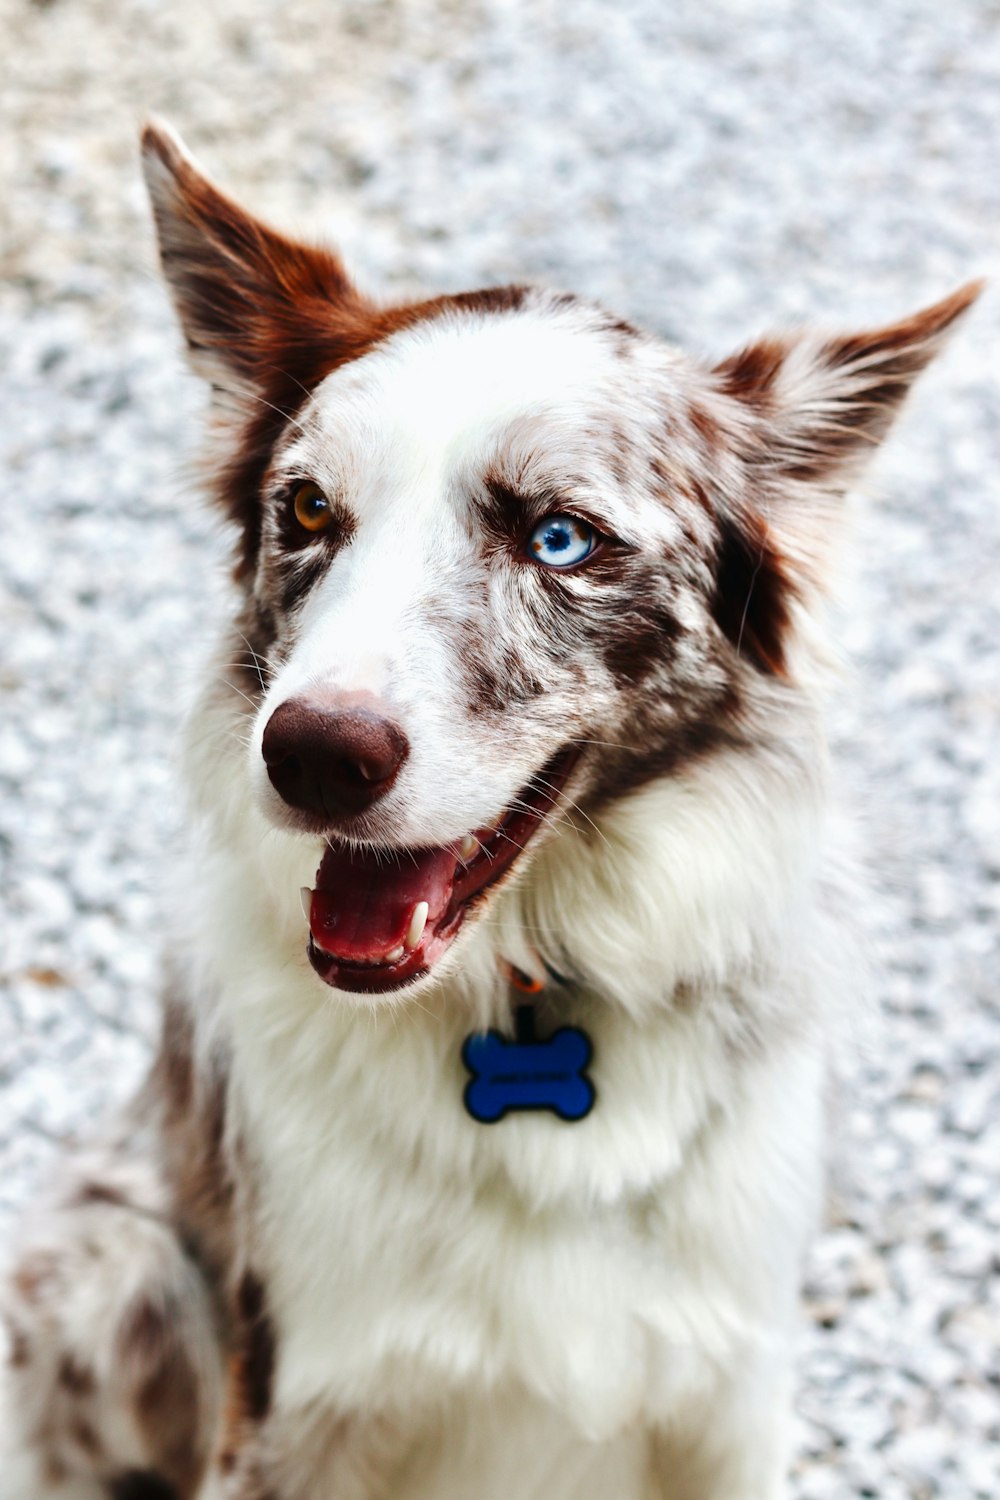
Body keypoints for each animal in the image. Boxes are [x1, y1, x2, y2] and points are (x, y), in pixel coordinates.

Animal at [0, 120, 983, 1500]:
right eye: (307, 508)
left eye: (559, 539)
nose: (310, 757)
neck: (524, 995)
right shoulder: (291, 1395)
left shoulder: (727, 1396)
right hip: (102, 1265)